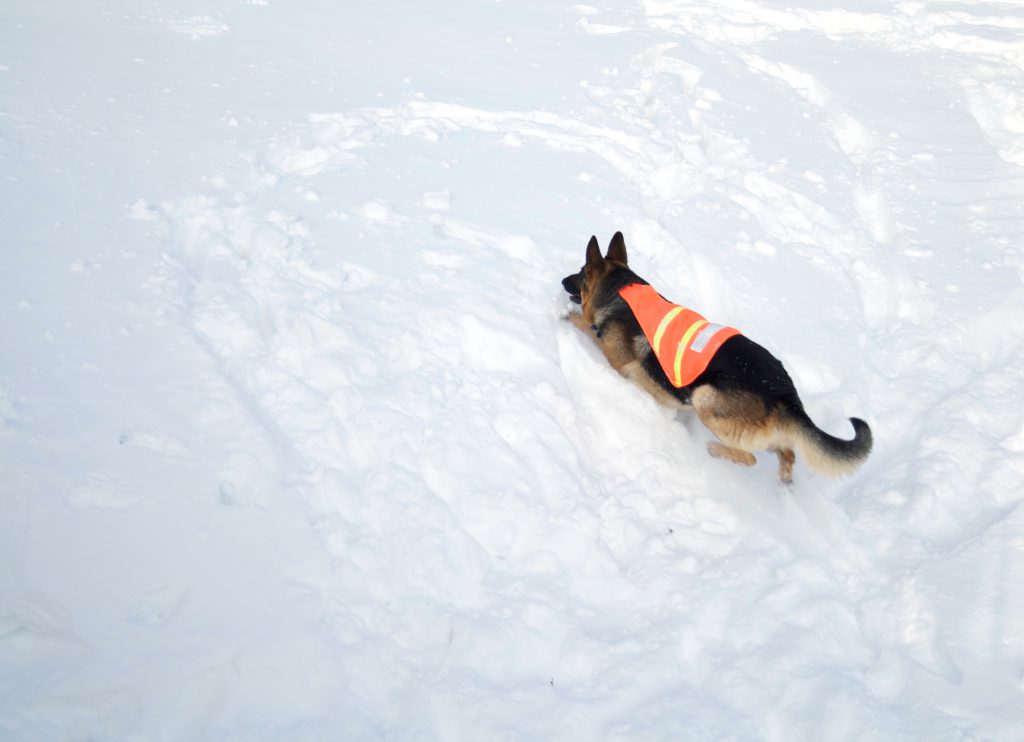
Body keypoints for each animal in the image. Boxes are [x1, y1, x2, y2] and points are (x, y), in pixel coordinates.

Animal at [561, 233, 872, 487]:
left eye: (580, 273)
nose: (562, 281)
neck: (620, 292)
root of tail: (787, 395)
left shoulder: (612, 355)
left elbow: (586, 327)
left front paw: (565, 315)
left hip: (706, 398)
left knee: (750, 457)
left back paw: (714, 450)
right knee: (788, 452)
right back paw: (785, 479)